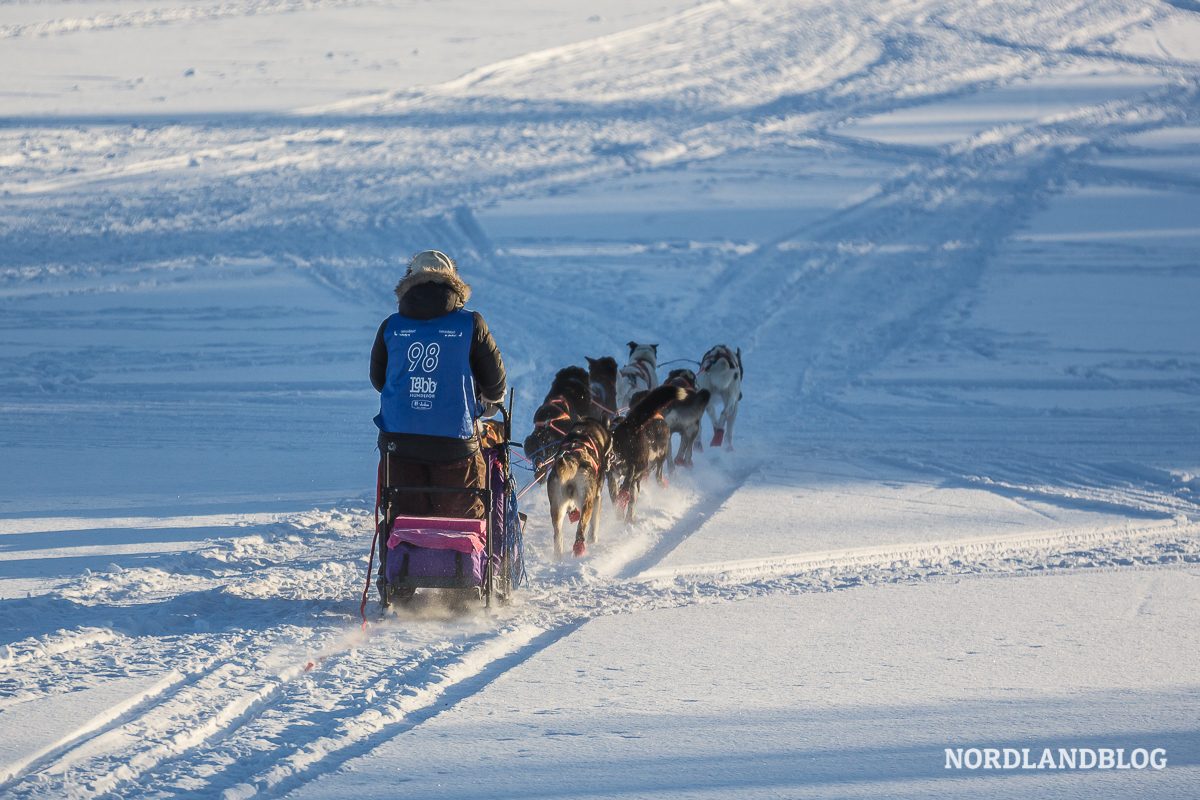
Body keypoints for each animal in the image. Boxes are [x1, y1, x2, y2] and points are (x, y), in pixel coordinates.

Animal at [549, 417, 614, 561]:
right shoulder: (597, 498)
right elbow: (594, 524)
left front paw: (573, 512)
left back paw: (558, 557)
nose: (613, 456)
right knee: (581, 528)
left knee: (558, 535)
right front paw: (593, 540)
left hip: (557, 507)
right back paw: (579, 549)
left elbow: (571, 506)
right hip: (587, 501)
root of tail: (573, 458)